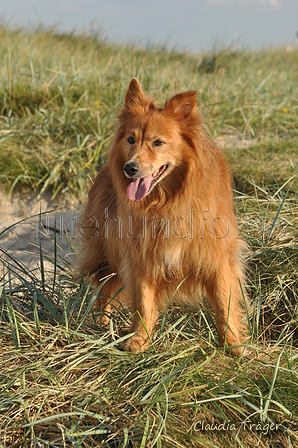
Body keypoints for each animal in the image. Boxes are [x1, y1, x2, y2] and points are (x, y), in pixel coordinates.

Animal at [77, 79, 249, 356]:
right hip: (108, 253)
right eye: (131, 139)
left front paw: (234, 345)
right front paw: (140, 340)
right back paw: (102, 325)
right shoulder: (140, 255)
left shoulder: (216, 257)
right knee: (104, 292)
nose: (129, 168)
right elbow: (144, 302)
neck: (167, 202)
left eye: (158, 143)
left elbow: (225, 303)